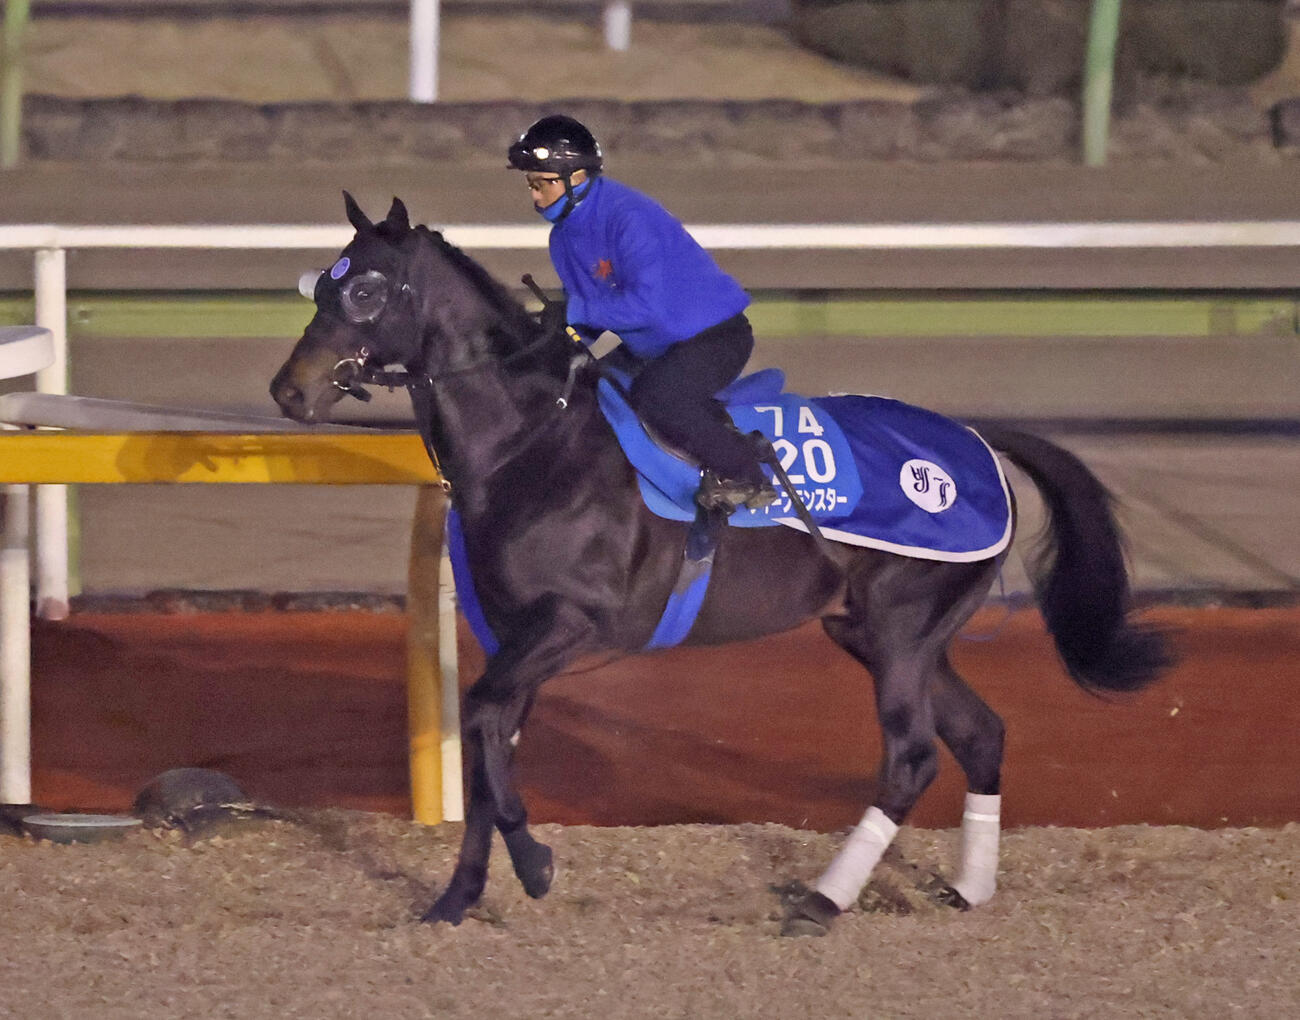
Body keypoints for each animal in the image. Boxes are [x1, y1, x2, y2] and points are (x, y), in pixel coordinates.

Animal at [270, 194, 1172, 935]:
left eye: (366, 291)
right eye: (321, 288)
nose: (289, 390)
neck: (532, 444)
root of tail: (980, 442)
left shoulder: (574, 623)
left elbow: (489, 721)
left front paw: (535, 864)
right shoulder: (510, 635)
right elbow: (489, 741)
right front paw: (457, 897)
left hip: (903, 628)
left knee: (912, 756)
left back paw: (822, 900)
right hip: (876, 631)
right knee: (981, 733)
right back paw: (969, 888)